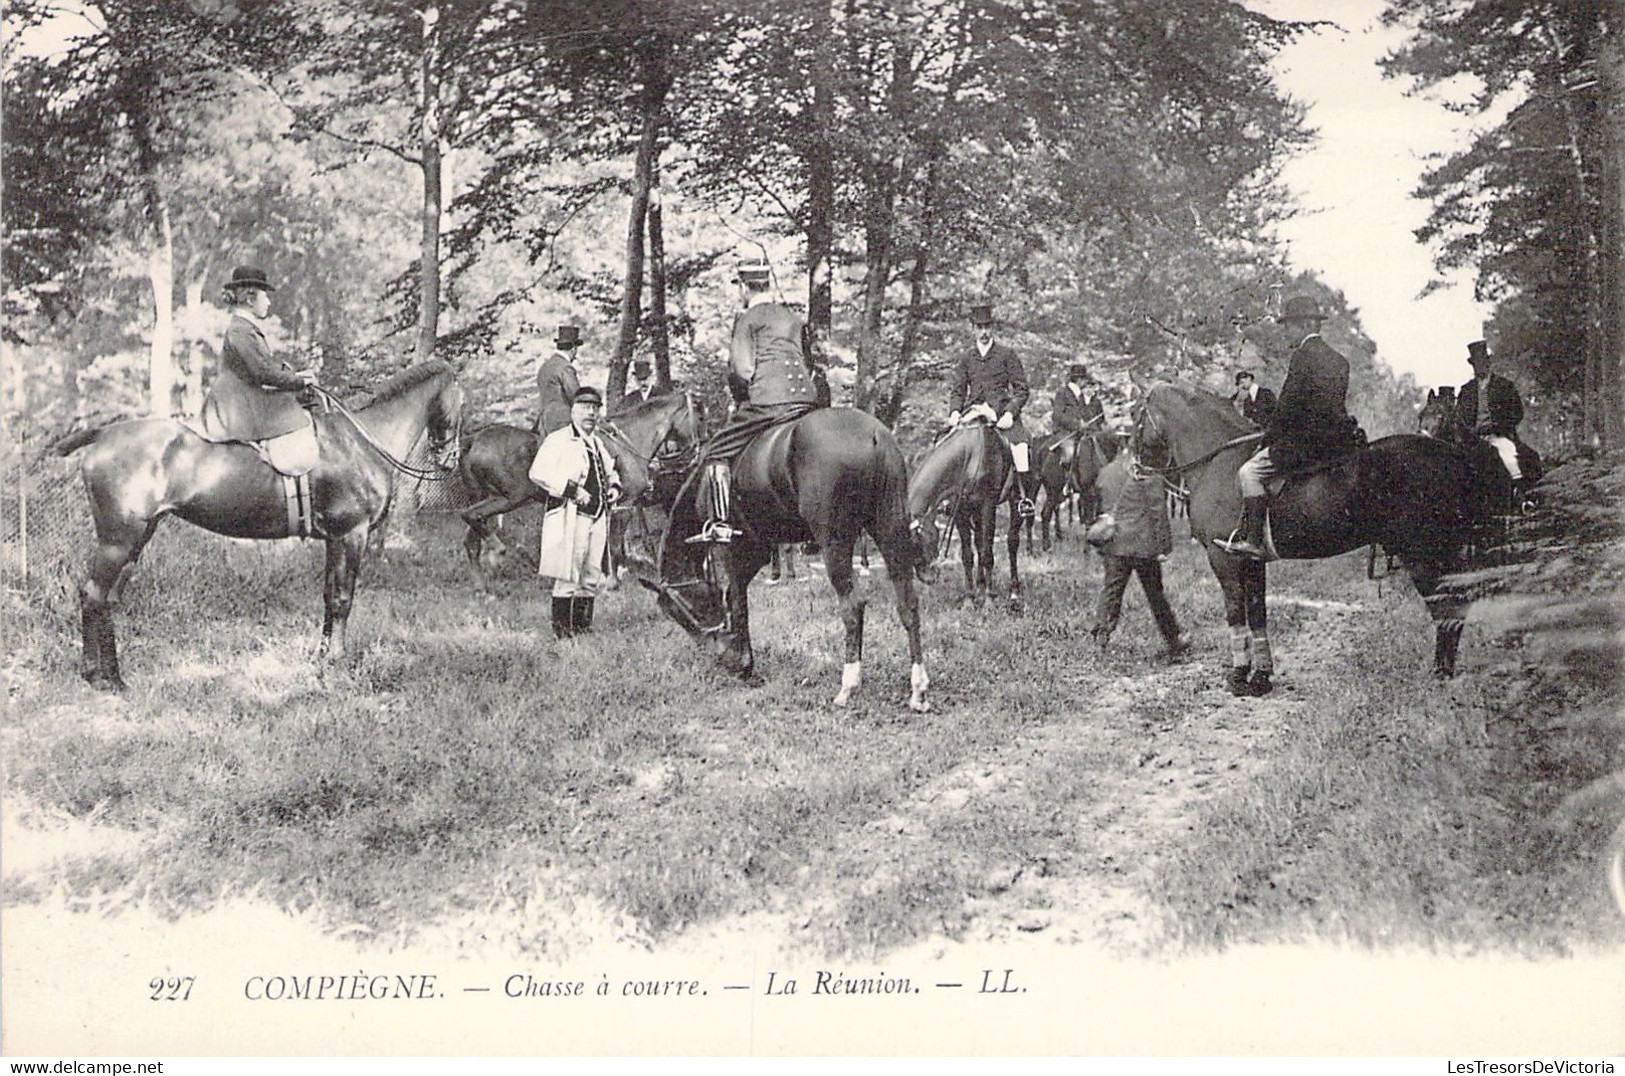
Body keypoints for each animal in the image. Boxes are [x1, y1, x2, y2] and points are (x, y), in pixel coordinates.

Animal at [55, 357, 464, 685]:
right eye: (461, 404)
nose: (451, 459)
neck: (360, 442)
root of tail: (104, 433)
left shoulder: (334, 538)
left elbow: (329, 596)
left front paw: (321, 658)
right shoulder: (352, 534)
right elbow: (343, 598)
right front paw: (337, 661)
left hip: (137, 538)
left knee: (107, 598)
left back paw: (113, 676)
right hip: (118, 540)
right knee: (93, 594)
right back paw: (98, 677)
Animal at [464, 390, 705, 572]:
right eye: (700, 417)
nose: (698, 451)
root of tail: (474, 439)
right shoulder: (625, 504)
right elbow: (614, 544)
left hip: (486, 497)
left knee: (471, 539)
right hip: (508, 498)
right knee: (472, 517)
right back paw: (499, 551)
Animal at [640, 409, 936, 711]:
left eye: (676, 612)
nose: (715, 652)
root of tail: (873, 434)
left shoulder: (733, 550)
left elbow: (737, 600)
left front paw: (744, 663)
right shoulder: (757, 550)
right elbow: (734, 596)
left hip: (835, 543)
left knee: (853, 607)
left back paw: (848, 686)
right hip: (889, 529)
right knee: (908, 603)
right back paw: (918, 689)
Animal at [1137, 383, 1501, 695]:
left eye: (1136, 418)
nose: (1136, 467)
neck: (1221, 463)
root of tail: (1452, 454)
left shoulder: (1224, 559)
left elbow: (1235, 612)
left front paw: (1239, 676)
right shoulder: (1251, 561)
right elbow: (1257, 613)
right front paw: (1261, 677)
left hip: (1421, 554)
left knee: (1446, 609)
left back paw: (1440, 675)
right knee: (1454, 608)